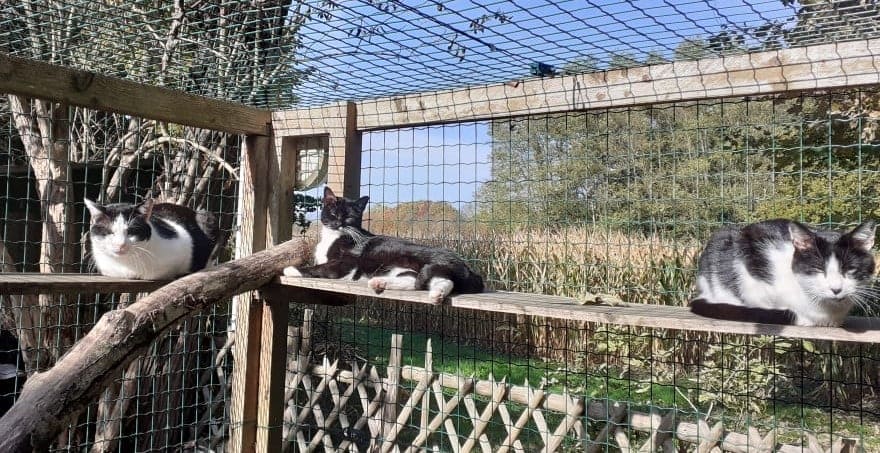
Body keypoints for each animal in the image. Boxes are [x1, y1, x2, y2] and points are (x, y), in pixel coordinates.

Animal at [282, 187, 484, 304]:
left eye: (349, 216)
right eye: (333, 213)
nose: (339, 223)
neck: (334, 236)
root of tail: (464, 264)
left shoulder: (347, 262)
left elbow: (322, 267)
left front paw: (292, 269)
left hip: (420, 258)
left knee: (440, 280)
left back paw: (436, 294)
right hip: (403, 269)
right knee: (418, 281)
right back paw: (381, 282)